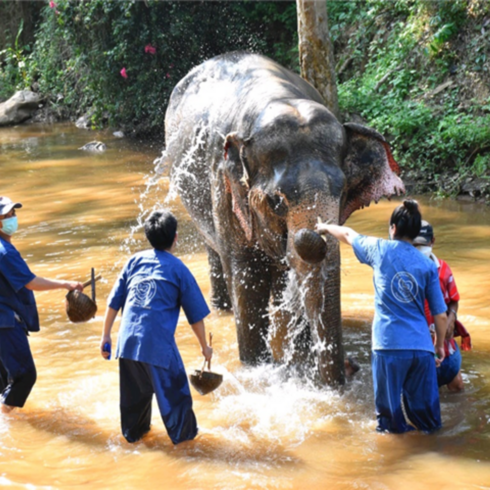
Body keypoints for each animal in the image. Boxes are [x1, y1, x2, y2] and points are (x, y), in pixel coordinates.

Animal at [163, 51, 404, 384]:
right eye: (276, 200)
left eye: (343, 192)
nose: (351, 366)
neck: (279, 97)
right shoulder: (223, 183)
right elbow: (247, 276)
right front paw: (255, 367)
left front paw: (298, 357)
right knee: (217, 255)